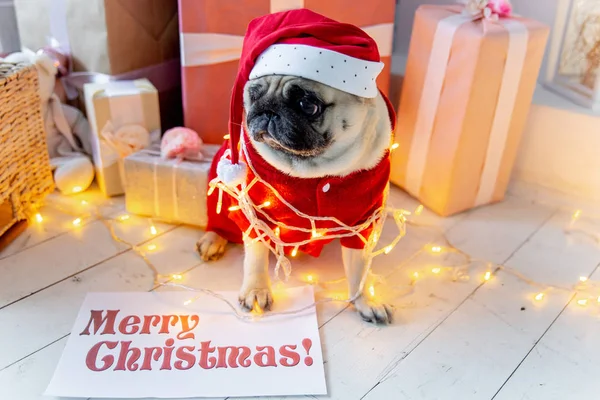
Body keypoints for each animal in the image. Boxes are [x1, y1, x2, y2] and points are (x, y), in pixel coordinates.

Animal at [197, 75, 394, 324]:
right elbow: (256, 257)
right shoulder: (256, 214)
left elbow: (359, 267)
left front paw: (365, 300)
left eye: (308, 105)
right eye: (253, 95)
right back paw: (213, 238)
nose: (268, 109)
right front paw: (256, 290)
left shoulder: (362, 223)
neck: (314, 170)